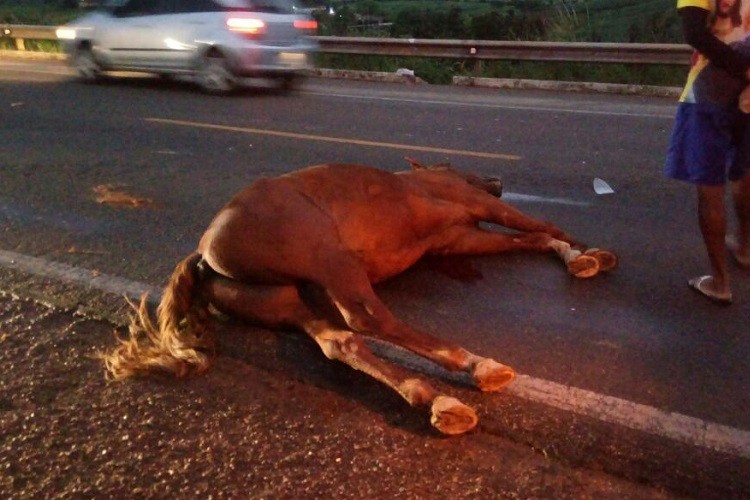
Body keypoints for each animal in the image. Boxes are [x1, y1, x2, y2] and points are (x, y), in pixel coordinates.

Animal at [103, 159, 616, 434]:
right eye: (458, 167)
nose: (498, 180)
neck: (422, 181)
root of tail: (204, 253)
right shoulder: (477, 206)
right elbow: (538, 224)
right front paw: (585, 253)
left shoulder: (461, 238)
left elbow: (530, 238)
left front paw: (573, 254)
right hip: (332, 262)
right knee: (367, 320)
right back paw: (474, 366)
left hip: (286, 302)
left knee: (340, 341)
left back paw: (434, 398)